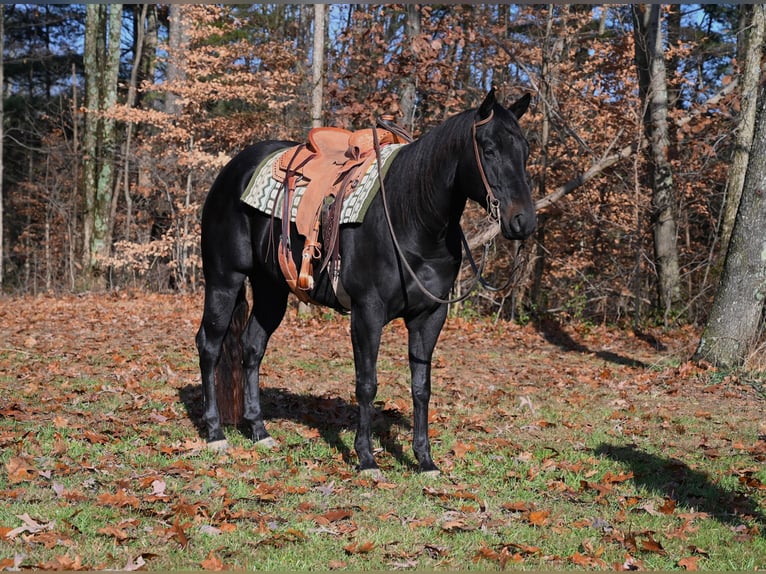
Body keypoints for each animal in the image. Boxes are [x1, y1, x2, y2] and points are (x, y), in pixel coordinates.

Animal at [195, 88, 536, 475]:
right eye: (489, 148)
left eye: (525, 150)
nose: (523, 221)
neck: (411, 218)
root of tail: (232, 170)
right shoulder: (367, 312)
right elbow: (367, 384)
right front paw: (367, 458)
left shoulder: (429, 317)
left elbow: (422, 387)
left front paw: (425, 460)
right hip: (224, 280)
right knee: (210, 346)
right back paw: (215, 434)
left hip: (272, 290)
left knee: (252, 348)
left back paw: (259, 430)